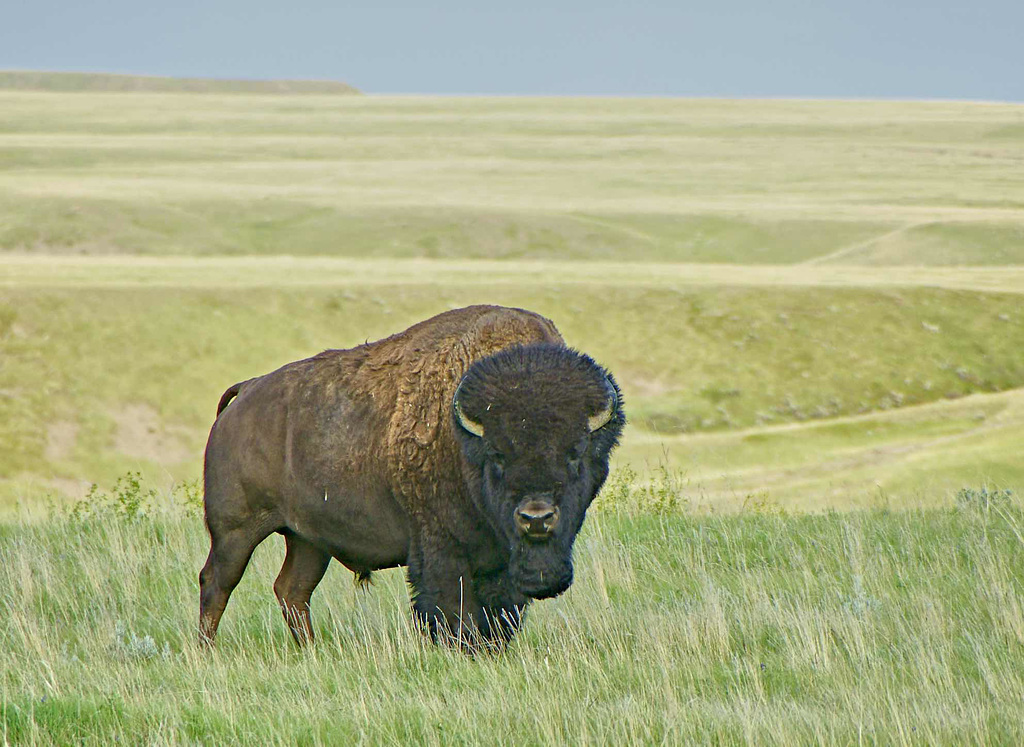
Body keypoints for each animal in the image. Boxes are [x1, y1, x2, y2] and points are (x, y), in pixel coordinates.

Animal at [195, 303, 618, 647]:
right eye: (498, 455)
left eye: (576, 453)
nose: (536, 518)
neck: (465, 436)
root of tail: (246, 391)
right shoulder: (440, 546)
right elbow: (454, 610)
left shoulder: (500, 560)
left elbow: (500, 613)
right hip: (236, 531)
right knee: (216, 582)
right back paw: (206, 652)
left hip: (307, 539)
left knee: (292, 590)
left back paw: (311, 652)